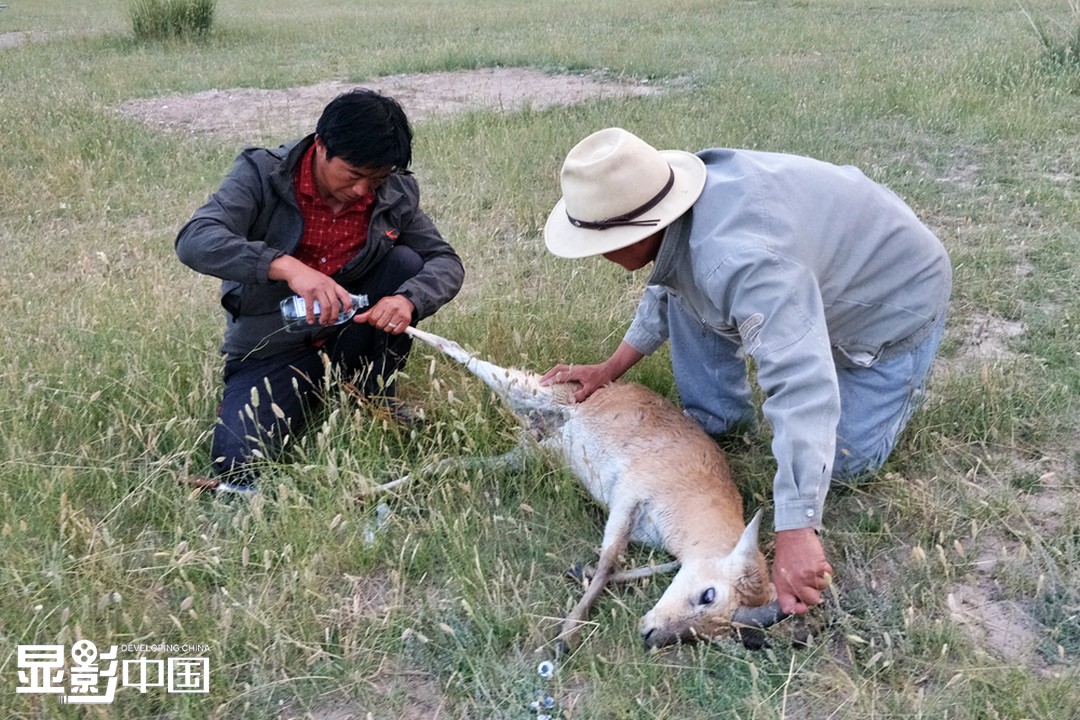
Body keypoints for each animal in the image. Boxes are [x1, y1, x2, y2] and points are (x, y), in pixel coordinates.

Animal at [382, 326, 788, 652]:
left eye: (714, 631)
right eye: (709, 594)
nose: (651, 634)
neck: (695, 492)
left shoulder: (670, 549)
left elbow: (634, 567)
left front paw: (578, 574)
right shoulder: (628, 499)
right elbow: (609, 564)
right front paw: (566, 636)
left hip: (529, 454)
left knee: (446, 464)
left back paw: (375, 490)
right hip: (525, 391)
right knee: (458, 350)